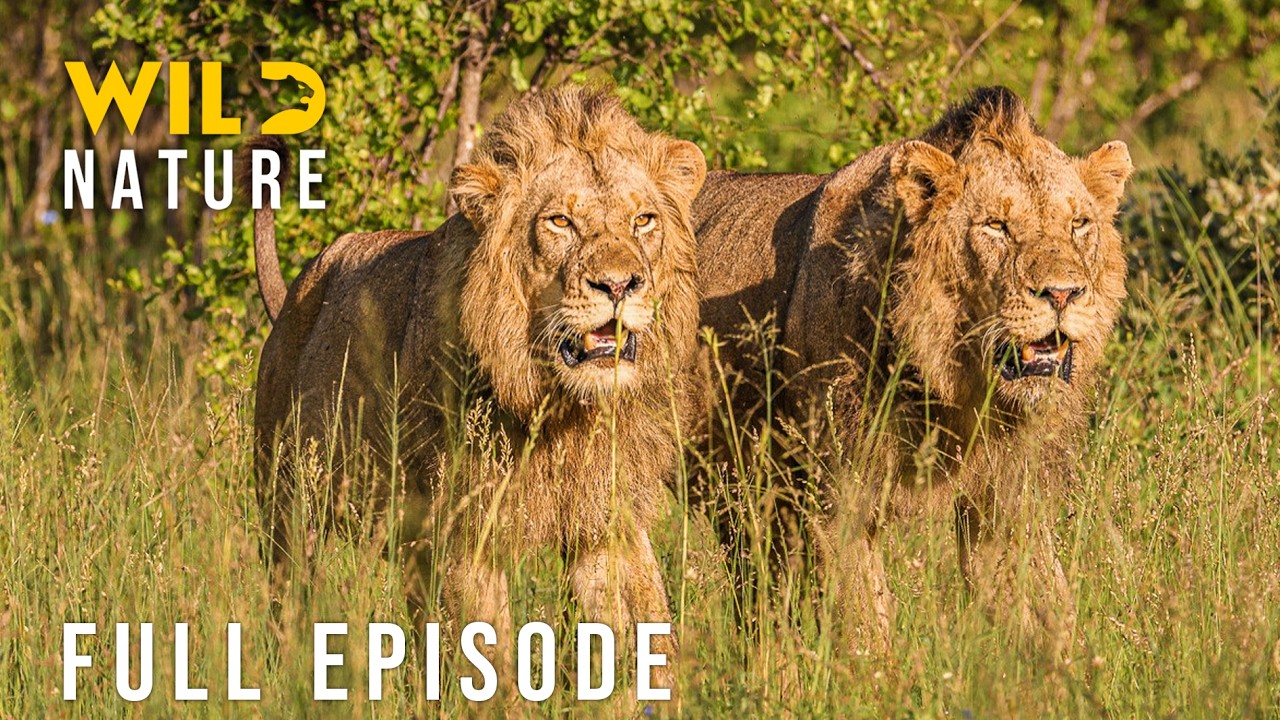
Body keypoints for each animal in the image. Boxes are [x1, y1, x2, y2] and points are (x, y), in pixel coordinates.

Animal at [251, 85, 707, 695]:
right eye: (559, 221)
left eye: (644, 220)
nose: (618, 284)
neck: (561, 407)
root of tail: (293, 296)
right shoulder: (467, 528)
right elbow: (489, 664)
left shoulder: (605, 520)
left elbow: (642, 634)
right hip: (290, 507)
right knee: (290, 600)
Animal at [692, 86, 1132, 655]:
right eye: (996, 226)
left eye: (1079, 224)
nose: (1062, 294)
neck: (958, 388)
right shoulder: (838, 499)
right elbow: (864, 629)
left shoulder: (1009, 500)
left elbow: (1046, 610)